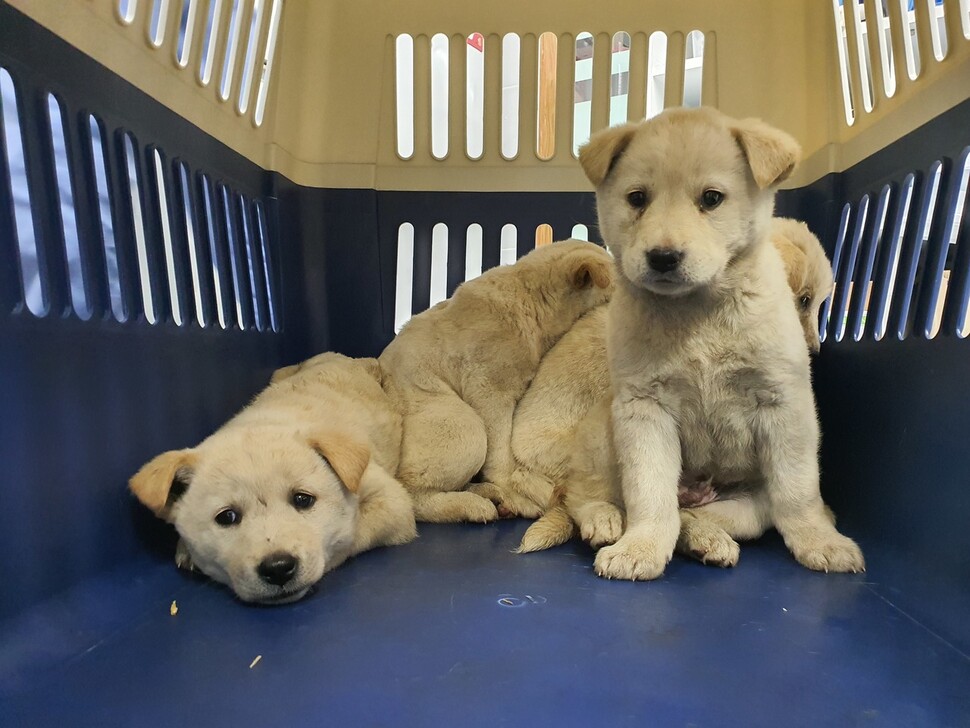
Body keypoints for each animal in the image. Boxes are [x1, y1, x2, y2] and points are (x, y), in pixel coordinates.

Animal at [130, 352, 416, 604]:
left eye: (303, 499)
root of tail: (345, 357)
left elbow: (350, 535)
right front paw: (186, 550)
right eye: (227, 517)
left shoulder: (392, 500)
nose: (278, 568)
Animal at [376, 243, 608, 524]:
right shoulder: (490, 392)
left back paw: (486, 493)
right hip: (463, 426)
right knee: (412, 494)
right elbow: (501, 454)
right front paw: (515, 494)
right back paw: (475, 505)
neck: (532, 300)